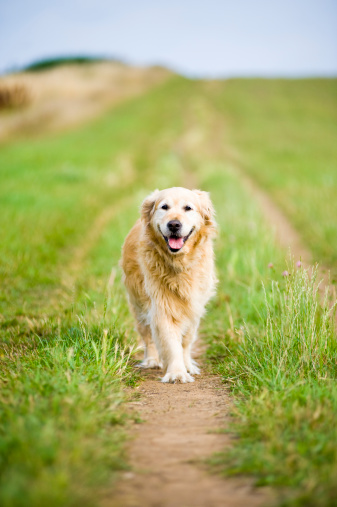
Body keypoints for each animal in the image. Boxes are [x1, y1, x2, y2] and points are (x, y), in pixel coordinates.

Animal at [119, 189, 217, 382]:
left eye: (188, 208)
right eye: (164, 207)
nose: (174, 224)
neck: (179, 263)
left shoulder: (194, 305)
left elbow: (186, 340)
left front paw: (187, 366)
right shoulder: (162, 305)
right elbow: (170, 342)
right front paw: (177, 372)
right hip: (139, 304)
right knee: (147, 335)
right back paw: (151, 360)